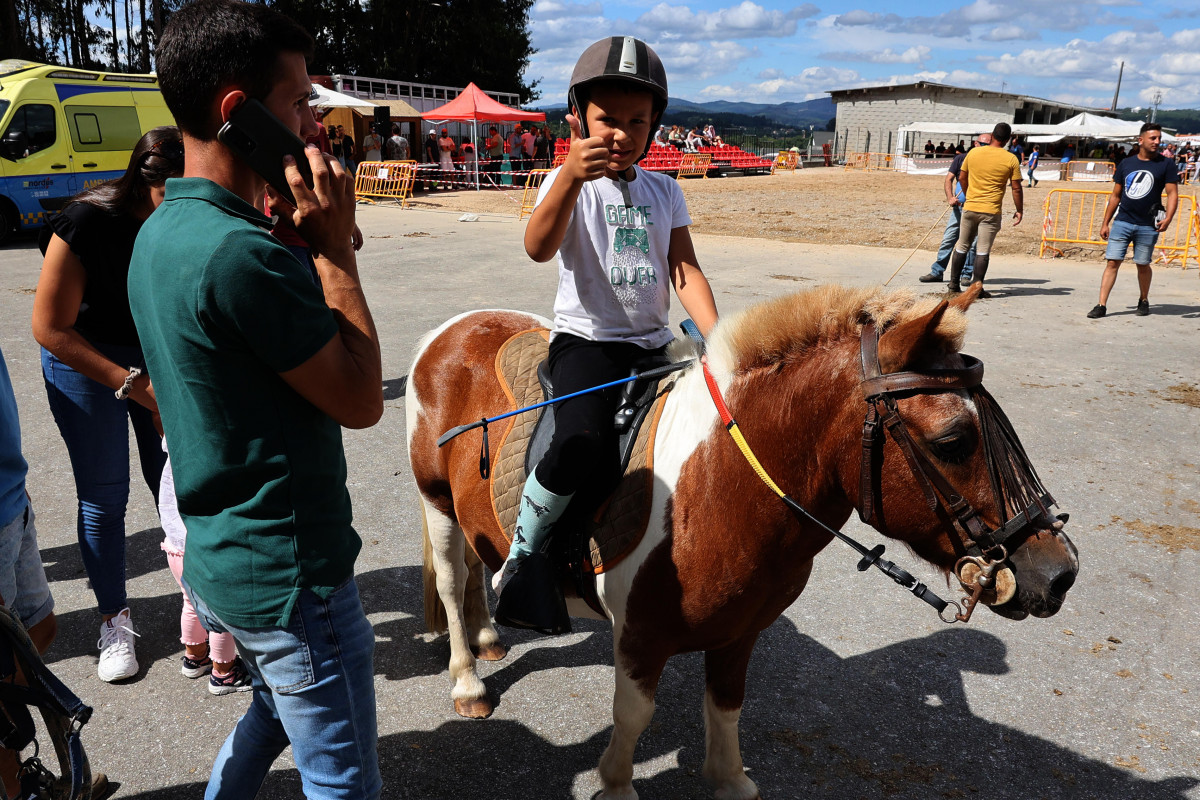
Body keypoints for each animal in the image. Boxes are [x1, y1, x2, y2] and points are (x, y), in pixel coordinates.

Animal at [405, 284, 1080, 796]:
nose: (1059, 572)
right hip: (437, 502)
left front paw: (729, 780)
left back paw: (489, 636)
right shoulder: (640, 637)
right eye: (953, 441)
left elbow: (727, 705)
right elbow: (634, 717)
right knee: (453, 578)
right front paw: (616, 785)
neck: (717, 483)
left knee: (477, 566)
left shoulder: (740, 631)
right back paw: (467, 678)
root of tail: (453, 329)